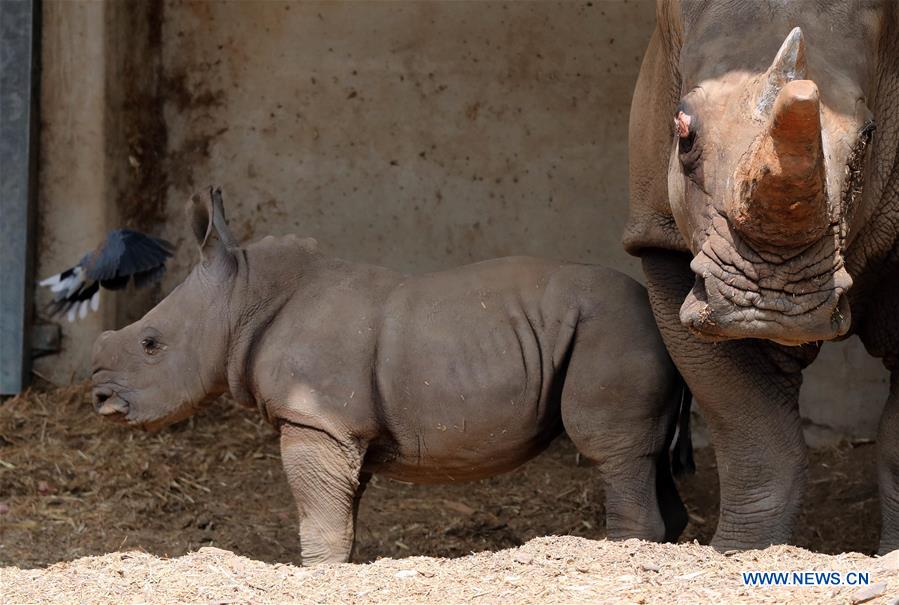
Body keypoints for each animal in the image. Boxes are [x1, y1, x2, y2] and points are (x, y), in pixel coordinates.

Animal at [91, 189, 690, 564]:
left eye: (150, 345)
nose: (99, 396)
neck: (241, 298)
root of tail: (660, 314)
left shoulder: (316, 421)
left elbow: (319, 517)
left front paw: (317, 574)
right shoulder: (340, 429)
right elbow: (339, 516)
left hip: (612, 330)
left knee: (614, 452)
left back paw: (623, 553)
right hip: (627, 332)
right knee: (648, 458)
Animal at [625, 0, 898, 553]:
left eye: (869, 138)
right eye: (681, 132)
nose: (770, 306)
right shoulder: (659, 237)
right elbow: (752, 426)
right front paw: (739, 550)